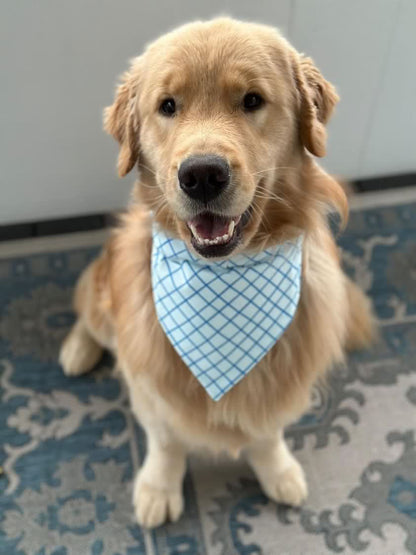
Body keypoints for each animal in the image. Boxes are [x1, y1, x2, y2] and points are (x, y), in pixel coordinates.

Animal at [60, 18, 376, 528]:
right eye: (168, 105)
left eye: (251, 100)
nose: (203, 175)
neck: (225, 274)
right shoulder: (151, 381)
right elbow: (166, 439)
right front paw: (158, 488)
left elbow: (266, 433)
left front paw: (278, 471)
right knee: (88, 312)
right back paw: (76, 349)